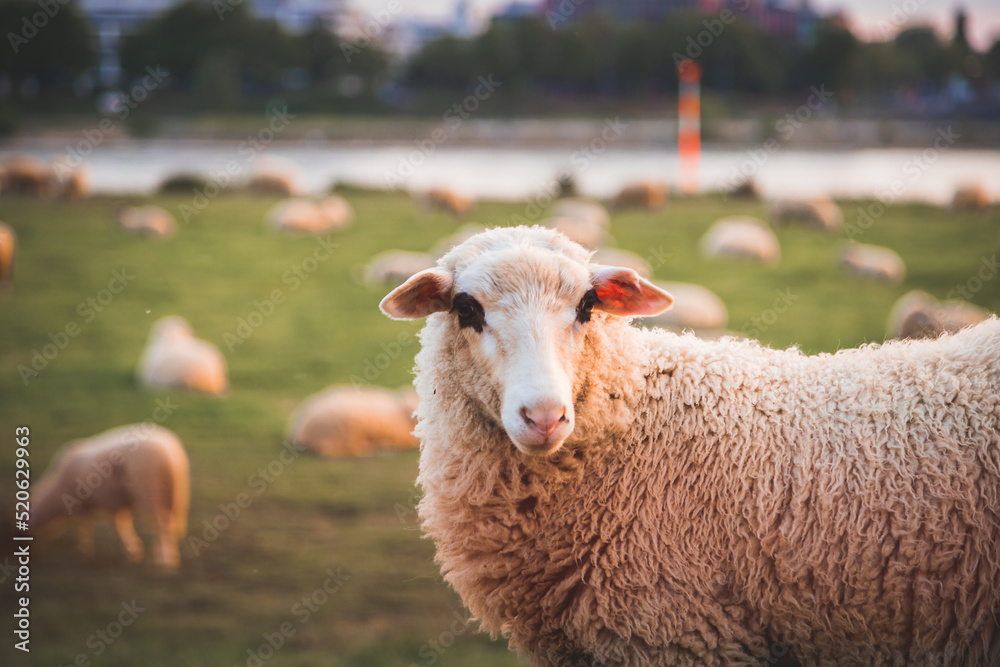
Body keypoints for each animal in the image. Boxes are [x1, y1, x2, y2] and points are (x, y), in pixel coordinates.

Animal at [31, 424, 190, 570]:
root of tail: (172, 453)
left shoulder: (80, 505)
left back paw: (164, 562)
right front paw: (133, 551)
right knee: (169, 523)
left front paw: (85, 552)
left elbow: (85, 527)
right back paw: (164, 555)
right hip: (172, 494)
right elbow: (120, 523)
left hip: (150, 489)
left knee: (163, 522)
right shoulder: (112, 502)